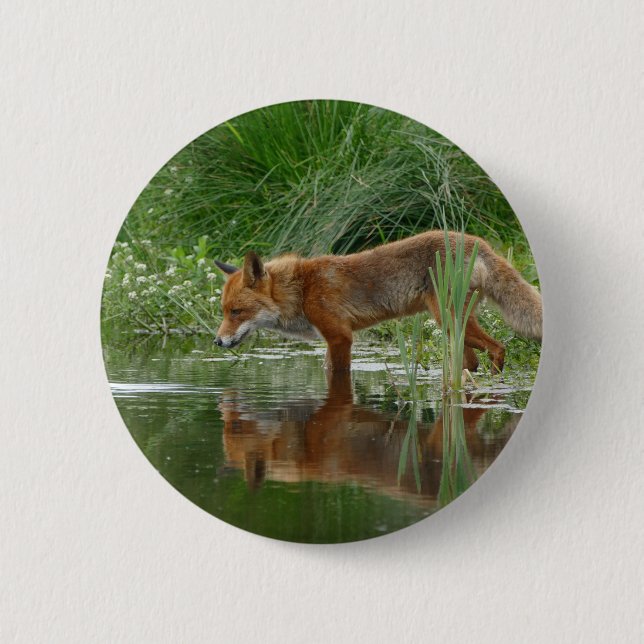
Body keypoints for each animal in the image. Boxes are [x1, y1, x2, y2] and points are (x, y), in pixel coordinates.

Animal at [214, 230, 542, 372]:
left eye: (237, 312)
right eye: (224, 311)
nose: (217, 342)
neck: (302, 290)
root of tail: (478, 241)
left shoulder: (340, 337)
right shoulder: (332, 340)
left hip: (449, 320)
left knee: (498, 348)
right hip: (454, 327)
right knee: (472, 361)